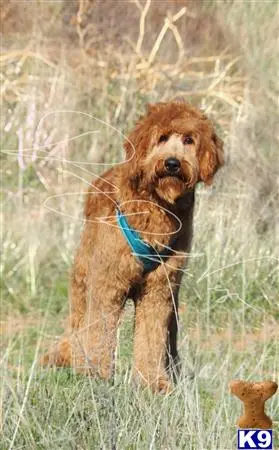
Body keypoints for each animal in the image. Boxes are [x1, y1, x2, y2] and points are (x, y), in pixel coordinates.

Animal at [42, 100, 225, 392]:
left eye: (189, 140)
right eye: (161, 138)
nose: (172, 163)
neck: (157, 207)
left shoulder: (158, 292)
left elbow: (151, 338)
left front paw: (152, 382)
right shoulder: (107, 284)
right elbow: (100, 332)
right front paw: (96, 375)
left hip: (172, 302)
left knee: (169, 340)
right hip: (83, 280)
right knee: (80, 327)